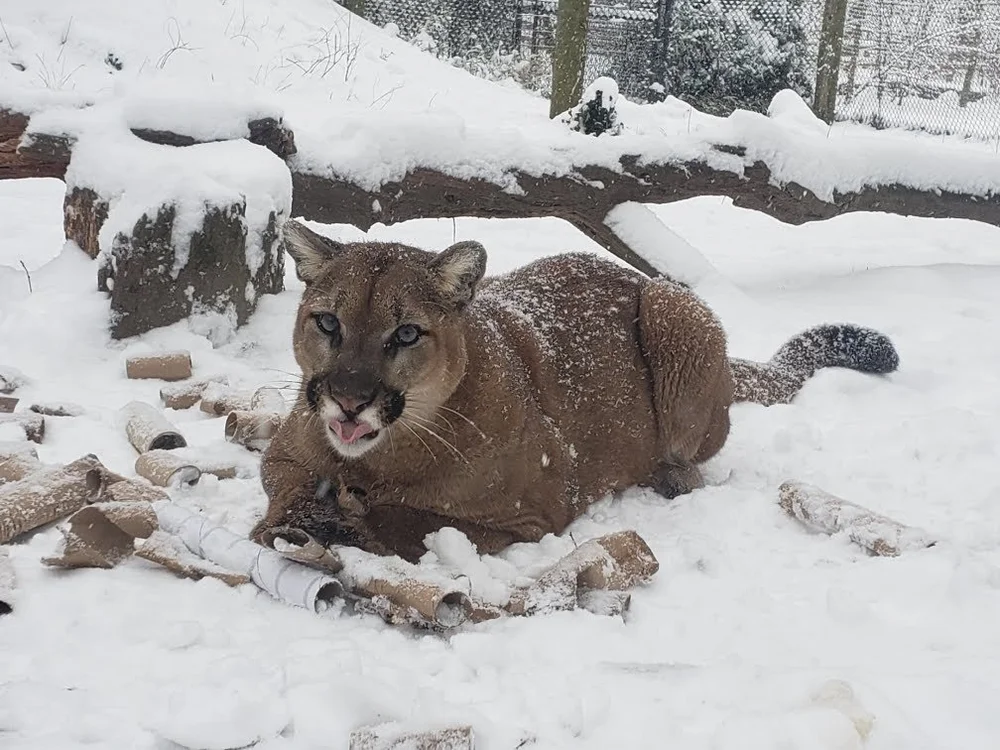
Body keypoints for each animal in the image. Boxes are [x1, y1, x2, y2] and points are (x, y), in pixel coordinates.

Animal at [251, 221, 899, 562]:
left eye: (406, 332)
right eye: (327, 322)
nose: (349, 398)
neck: (382, 455)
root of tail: (637, 275)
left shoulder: (532, 513)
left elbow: (415, 524)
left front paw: (344, 520)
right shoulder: (283, 453)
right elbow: (288, 481)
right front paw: (299, 513)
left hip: (675, 307)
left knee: (695, 458)